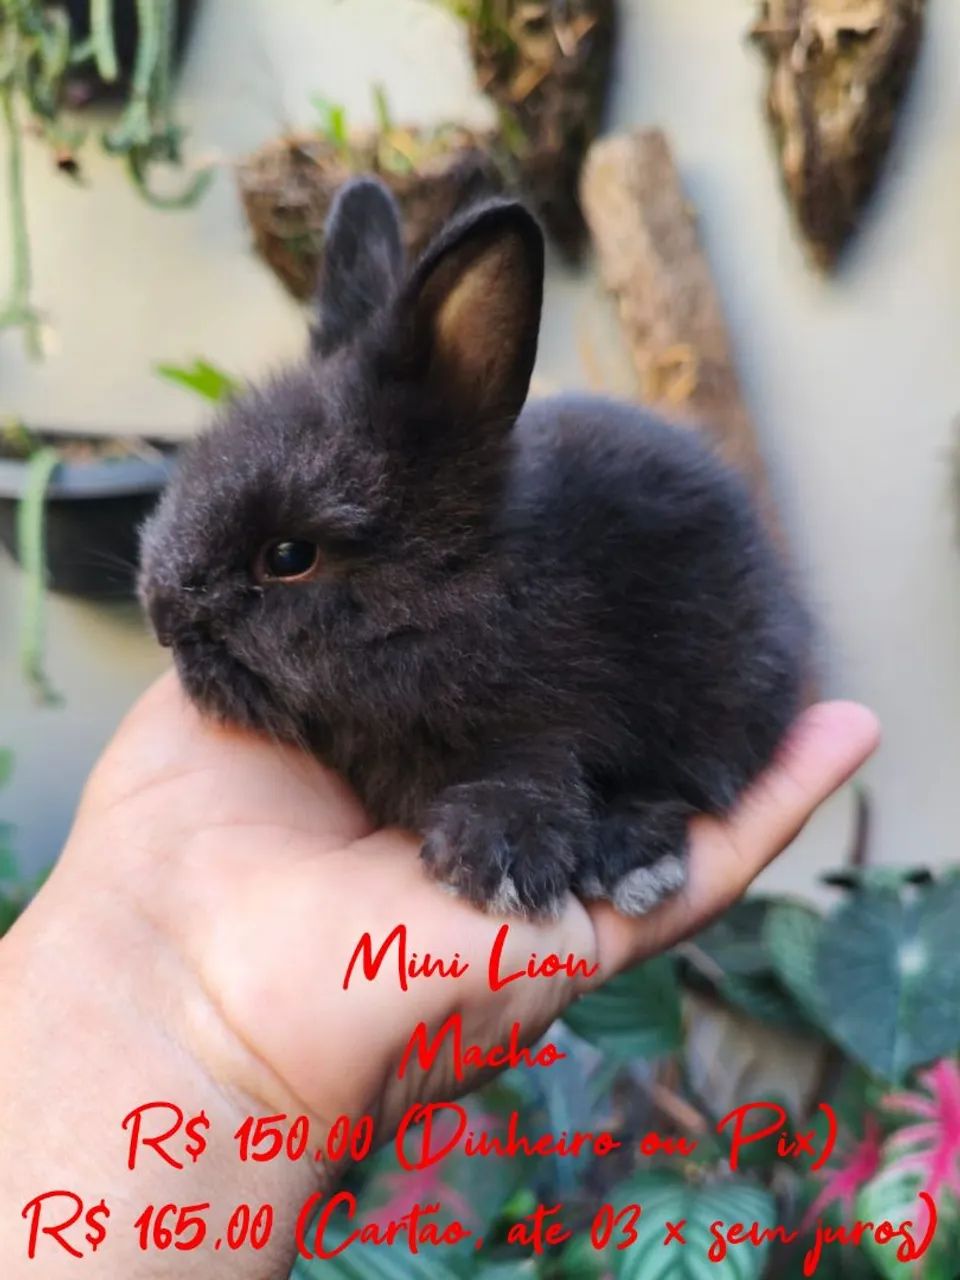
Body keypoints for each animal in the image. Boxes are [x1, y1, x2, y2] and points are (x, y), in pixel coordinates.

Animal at [139, 176, 810, 920]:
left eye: (288, 557)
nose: (164, 624)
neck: (463, 591)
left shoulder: (549, 718)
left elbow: (534, 772)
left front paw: (496, 864)